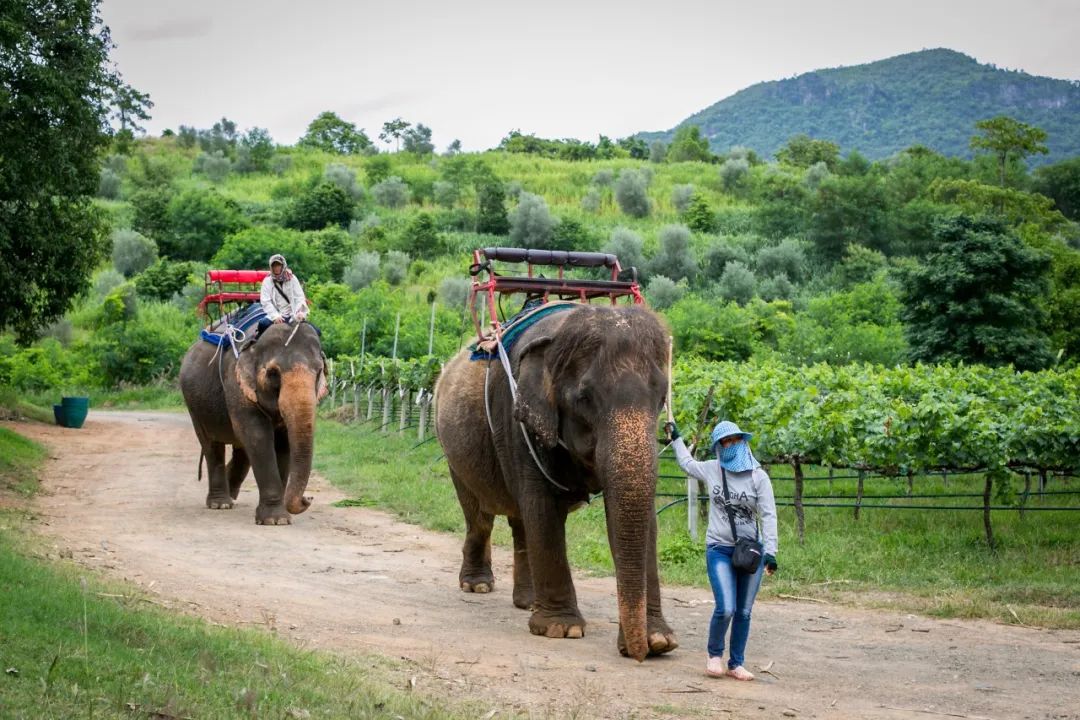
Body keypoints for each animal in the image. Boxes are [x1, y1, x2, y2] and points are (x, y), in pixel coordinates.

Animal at [179, 321, 324, 524]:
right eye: (273, 373)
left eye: (319, 372)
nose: (308, 498)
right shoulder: (236, 384)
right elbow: (258, 436)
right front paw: (275, 520)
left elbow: (283, 443)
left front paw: (279, 519)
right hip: (194, 406)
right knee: (212, 446)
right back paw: (220, 504)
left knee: (242, 450)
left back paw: (230, 493)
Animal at [436, 302, 673, 660]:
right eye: (584, 398)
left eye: (661, 397)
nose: (638, 653)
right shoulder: (518, 419)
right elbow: (543, 509)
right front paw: (561, 630)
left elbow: (641, 519)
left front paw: (660, 640)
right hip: (453, 451)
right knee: (480, 516)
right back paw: (477, 585)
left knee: (520, 520)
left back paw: (527, 602)